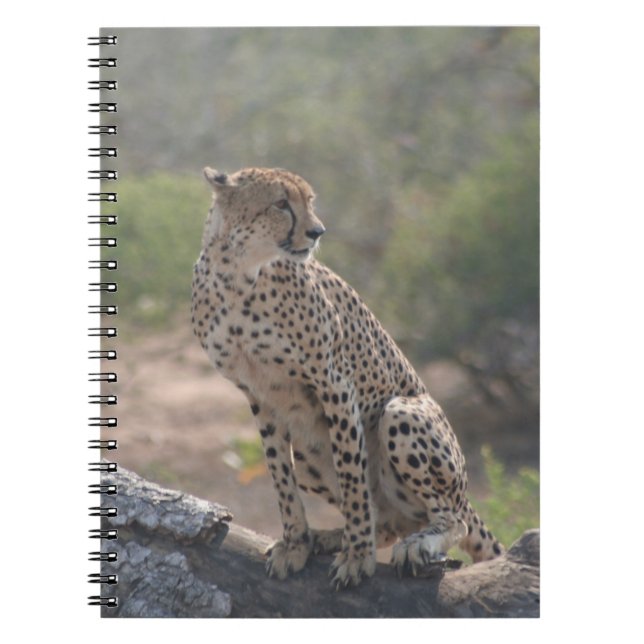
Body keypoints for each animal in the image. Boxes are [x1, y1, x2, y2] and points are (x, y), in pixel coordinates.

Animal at [191, 166, 503, 589]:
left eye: (309, 201)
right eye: (280, 203)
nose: (317, 231)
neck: (238, 273)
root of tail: (464, 494)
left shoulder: (333, 382)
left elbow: (353, 478)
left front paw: (357, 556)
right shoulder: (259, 395)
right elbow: (280, 475)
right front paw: (296, 543)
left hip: (402, 414)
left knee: (451, 520)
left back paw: (415, 544)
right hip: (308, 453)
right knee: (393, 521)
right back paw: (327, 537)